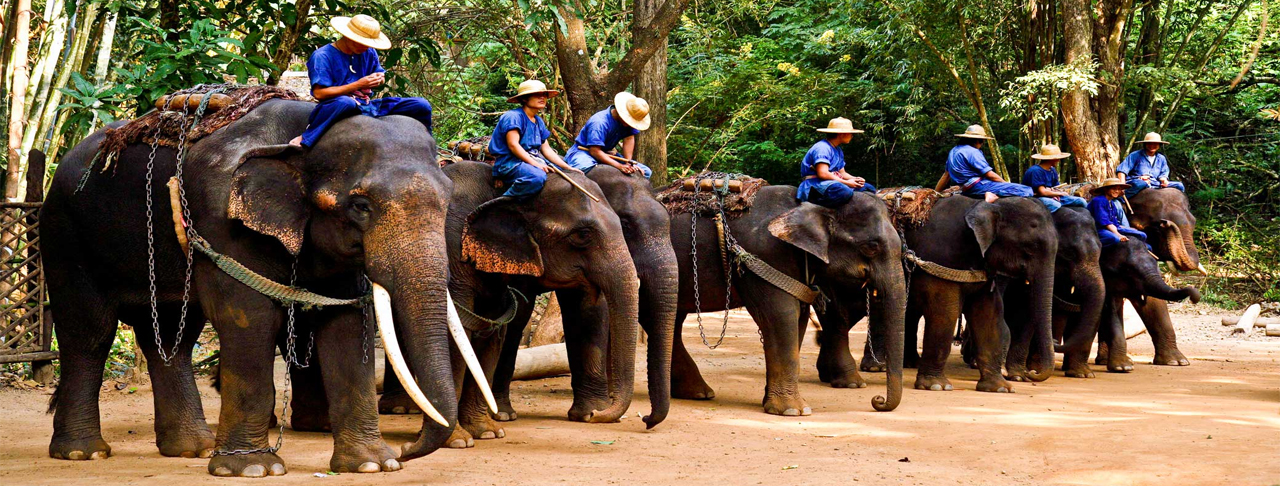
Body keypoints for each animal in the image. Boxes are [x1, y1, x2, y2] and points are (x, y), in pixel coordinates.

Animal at [43, 99, 481, 478]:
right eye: (360, 206)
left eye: (447, 199)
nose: (407, 450)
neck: (305, 129)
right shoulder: (222, 219)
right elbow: (248, 316)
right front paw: (251, 469)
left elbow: (346, 320)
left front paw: (373, 465)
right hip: (64, 234)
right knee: (89, 335)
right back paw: (84, 452)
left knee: (170, 337)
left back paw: (191, 448)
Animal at [665, 188, 906, 416]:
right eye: (871, 246)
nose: (877, 400)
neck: (806, 204)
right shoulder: (766, 255)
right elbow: (781, 316)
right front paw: (794, 411)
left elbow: (799, 318)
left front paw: (772, 403)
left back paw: (698, 393)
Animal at [870, 195, 1059, 393]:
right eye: (1030, 249)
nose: (1032, 373)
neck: (984, 206)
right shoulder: (941, 259)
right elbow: (946, 313)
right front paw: (936, 386)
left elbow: (988, 314)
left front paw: (1000, 388)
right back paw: (877, 367)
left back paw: (910, 363)